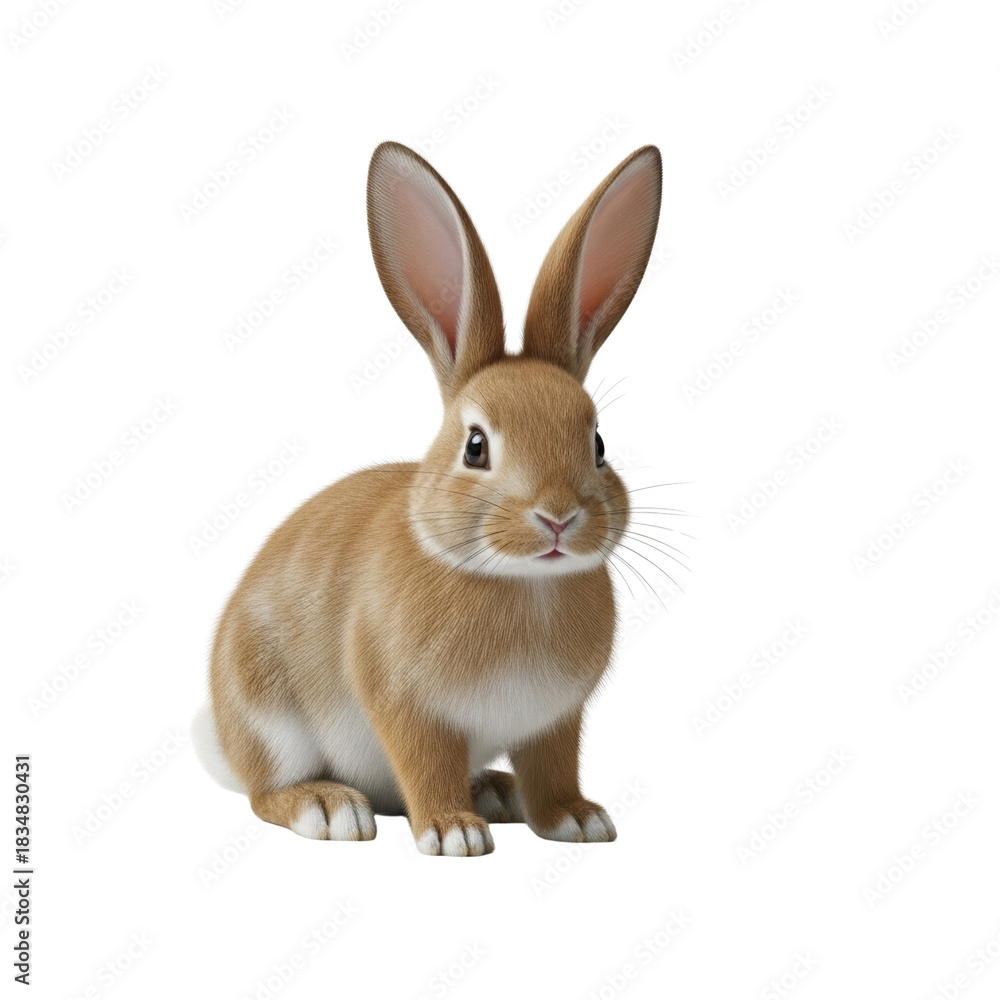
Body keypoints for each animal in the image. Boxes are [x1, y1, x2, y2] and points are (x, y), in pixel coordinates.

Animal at [192, 140, 662, 856]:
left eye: (598, 442)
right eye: (476, 446)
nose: (558, 517)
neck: (524, 584)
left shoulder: (555, 722)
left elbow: (554, 768)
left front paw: (576, 821)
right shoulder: (407, 707)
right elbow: (426, 762)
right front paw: (452, 834)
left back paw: (495, 791)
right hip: (269, 716)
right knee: (267, 793)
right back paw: (330, 808)